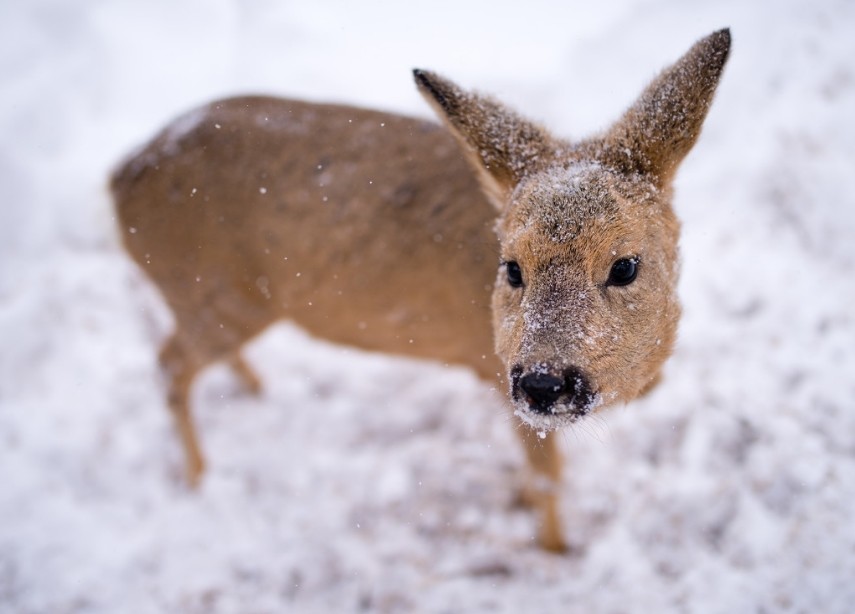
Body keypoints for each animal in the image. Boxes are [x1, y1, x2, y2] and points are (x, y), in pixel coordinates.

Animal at [110, 27, 732, 552]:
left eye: (625, 266)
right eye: (512, 268)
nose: (543, 383)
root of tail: (119, 177)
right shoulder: (496, 368)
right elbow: (548, 475)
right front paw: (555, 548)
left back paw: (254, 390)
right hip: (218, 292)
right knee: (169, 363)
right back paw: (198, 477)